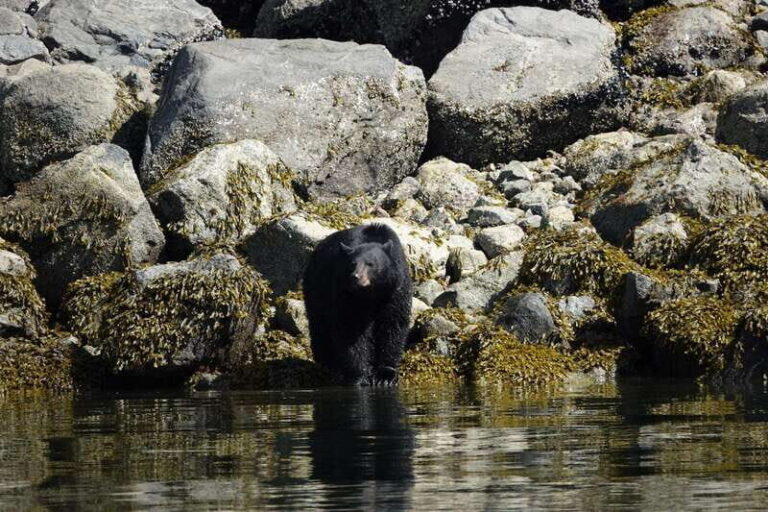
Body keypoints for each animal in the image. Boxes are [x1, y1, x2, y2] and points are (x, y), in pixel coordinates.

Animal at [303, 223, 412, 386]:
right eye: (352, 264)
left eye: (370, 264)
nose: (355, 277)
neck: (371, 293)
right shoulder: (346, 294)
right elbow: (351, 327)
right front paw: (360, 376)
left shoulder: (395, 290)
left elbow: (393, 325)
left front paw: (385, 376)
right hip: (316, 290)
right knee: (320, 326)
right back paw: (327, 364)